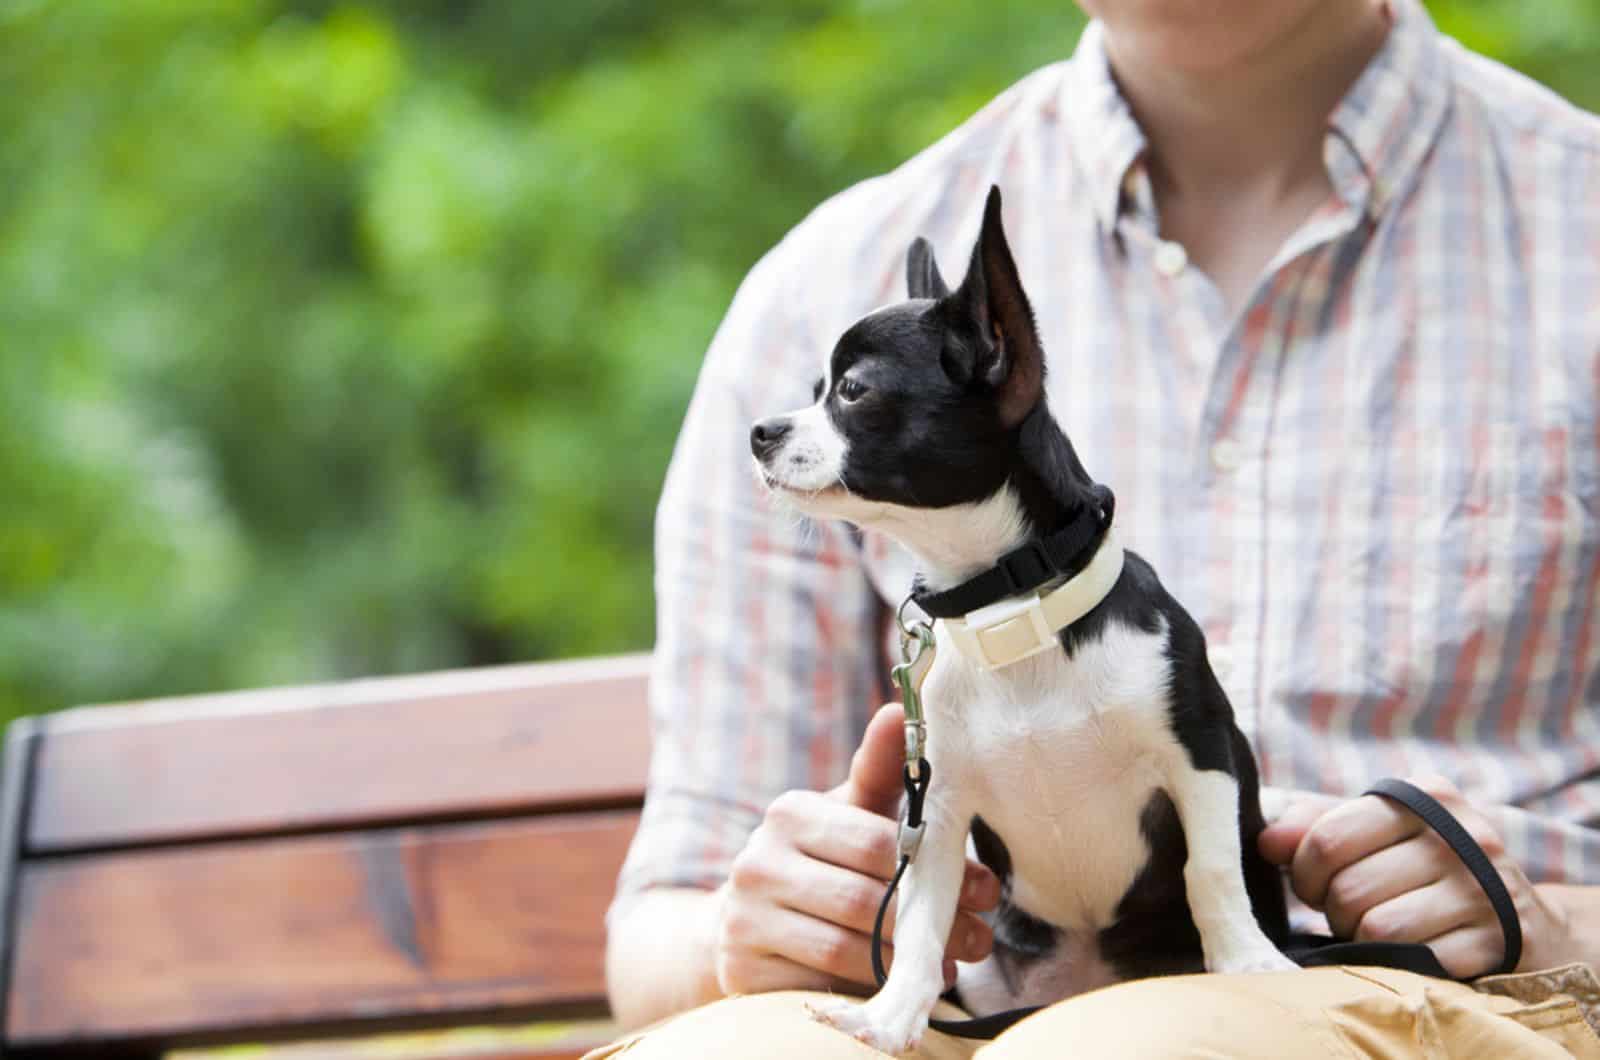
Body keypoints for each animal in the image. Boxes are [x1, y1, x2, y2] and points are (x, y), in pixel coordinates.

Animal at [755, 188, 1292, 1056]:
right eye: (814, 387)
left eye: (853, 393)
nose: (761, 431)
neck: (1011, 611)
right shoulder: (936, 812)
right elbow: (921, 920)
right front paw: (891, 1016)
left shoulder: (1200, 756)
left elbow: (1210, 868)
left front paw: (1245, 961)